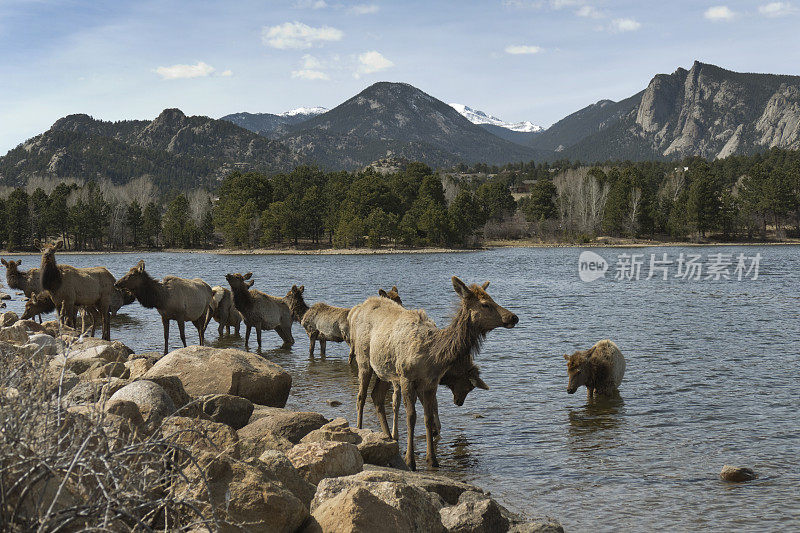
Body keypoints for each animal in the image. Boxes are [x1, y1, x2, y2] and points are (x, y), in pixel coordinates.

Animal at [350, 276, 520, 468]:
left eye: (491, 298)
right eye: (485, 304)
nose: (514, 317)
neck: (433, 355)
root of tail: (362, 306)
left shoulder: (430, 383)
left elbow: (428, 417)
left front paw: (432, 459)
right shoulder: (406, 377)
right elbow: (411, 417)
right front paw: (410, 461)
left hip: (385, 371)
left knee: (376, 396)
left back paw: (389, 440)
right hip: (364, 360)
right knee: (361, 397)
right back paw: (361, 431)